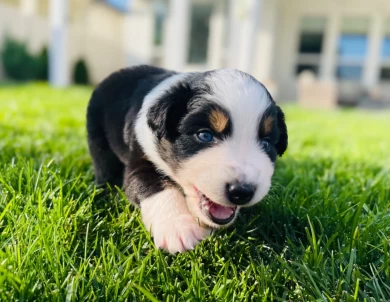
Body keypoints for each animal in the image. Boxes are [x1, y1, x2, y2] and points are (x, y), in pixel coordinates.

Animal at [87, 65, 288, 254]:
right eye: (205, 135)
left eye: (266, 143)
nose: (242, 191)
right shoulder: (140, 162)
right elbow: (156, 186)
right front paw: (178, 228)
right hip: (97, 134)